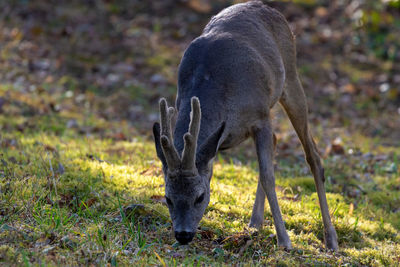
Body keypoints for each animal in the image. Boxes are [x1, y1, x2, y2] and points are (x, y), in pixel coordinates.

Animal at [153, 0, 338, 251]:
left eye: (200, 196)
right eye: (168, 198)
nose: (183, 234)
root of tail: (266, 7)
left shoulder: (260, 115)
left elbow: (269, 176)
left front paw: (285, 241)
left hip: (290, 79)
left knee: (313, 154)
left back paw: (331, 238)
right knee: (277, 141)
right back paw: (254, 223)